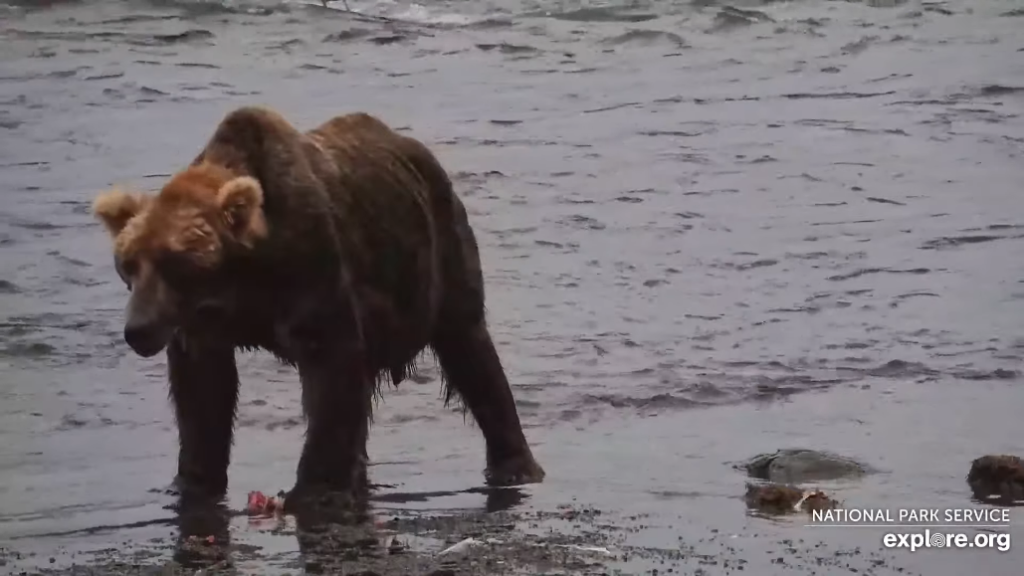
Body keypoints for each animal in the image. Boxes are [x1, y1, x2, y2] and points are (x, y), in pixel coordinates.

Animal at [93, 105, 548, 508]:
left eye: (174, 262)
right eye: (128, 263)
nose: (137, 330)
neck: (246, 277)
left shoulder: (312, 271)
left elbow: (331, 369)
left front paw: (311, 489)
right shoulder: (204, 325)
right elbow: (202, 392)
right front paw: (193, 480)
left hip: (440, 249)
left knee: (469, 348)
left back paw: (516, 466)